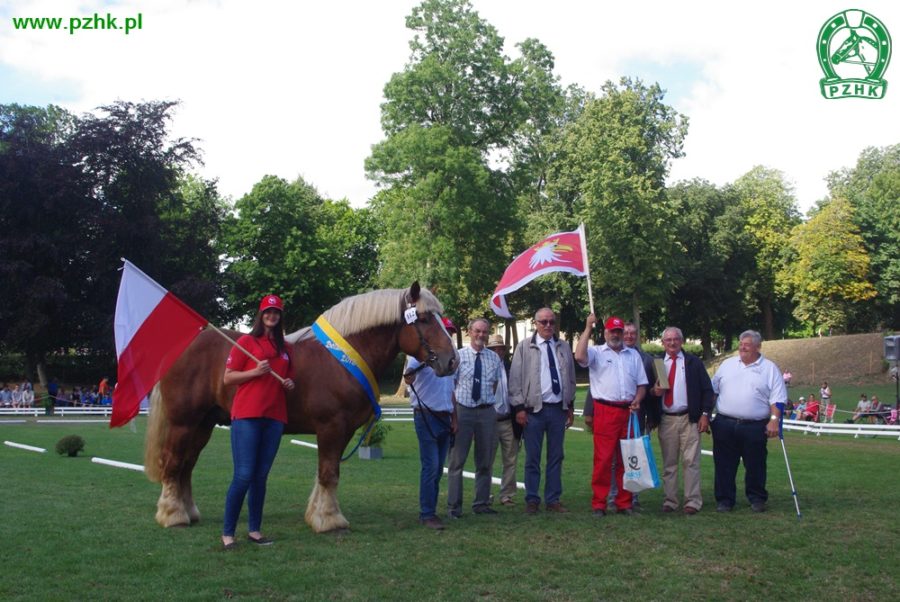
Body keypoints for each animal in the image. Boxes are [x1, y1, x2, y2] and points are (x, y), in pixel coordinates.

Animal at [147, 282, 460, 528]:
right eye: (423, 318)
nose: (452, 361)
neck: (341, 360)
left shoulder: (343, 430)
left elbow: (328, 473)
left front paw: (318, 514)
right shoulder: (331, 426)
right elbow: (328, 473)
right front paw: (329, 520)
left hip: (203, 424)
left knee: (186, 465)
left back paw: (189, 512)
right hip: (183, 422)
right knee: (173, 464)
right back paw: (173, 515)